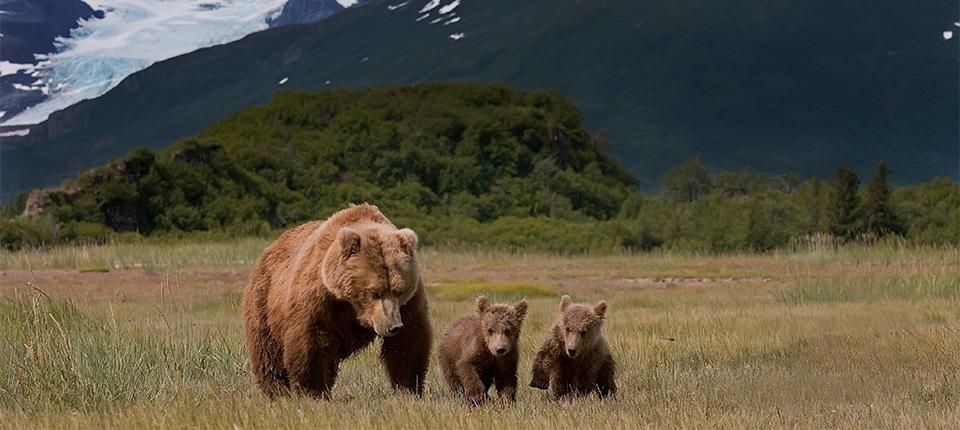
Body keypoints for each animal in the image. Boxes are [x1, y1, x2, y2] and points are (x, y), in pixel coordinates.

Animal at [241, 204, 432, 399]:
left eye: (399, 291)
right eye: (374, 292)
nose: (393, 326)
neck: (352, 305)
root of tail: (272, 247)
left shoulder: (409, 303)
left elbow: (408, 343)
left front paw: (408, 388)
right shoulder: (319, 298)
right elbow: (311, 343)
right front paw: (312, 391)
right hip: (264, 302)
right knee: (268, 352)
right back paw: (277, 390)